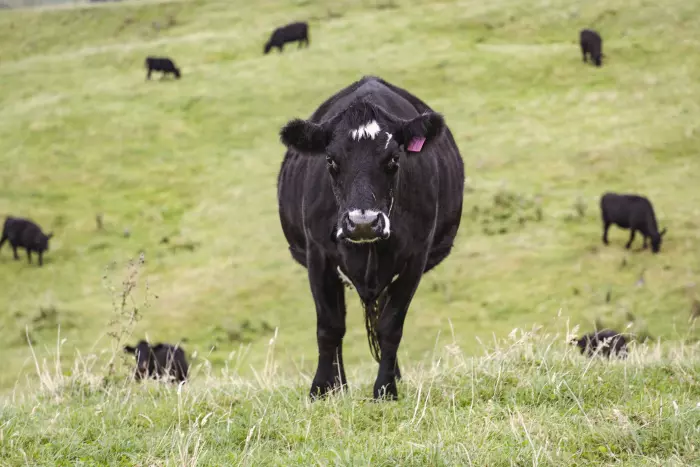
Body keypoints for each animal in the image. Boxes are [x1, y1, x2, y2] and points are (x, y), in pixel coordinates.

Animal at [278, 75, 464, 400]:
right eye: (331, 160)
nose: (362, 223)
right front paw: (321, 390)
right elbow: (329, 326)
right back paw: (340, 386)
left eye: (393, 159)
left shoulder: (416, 257)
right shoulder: (318, 255)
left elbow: (390, 327)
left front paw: (386, 389)